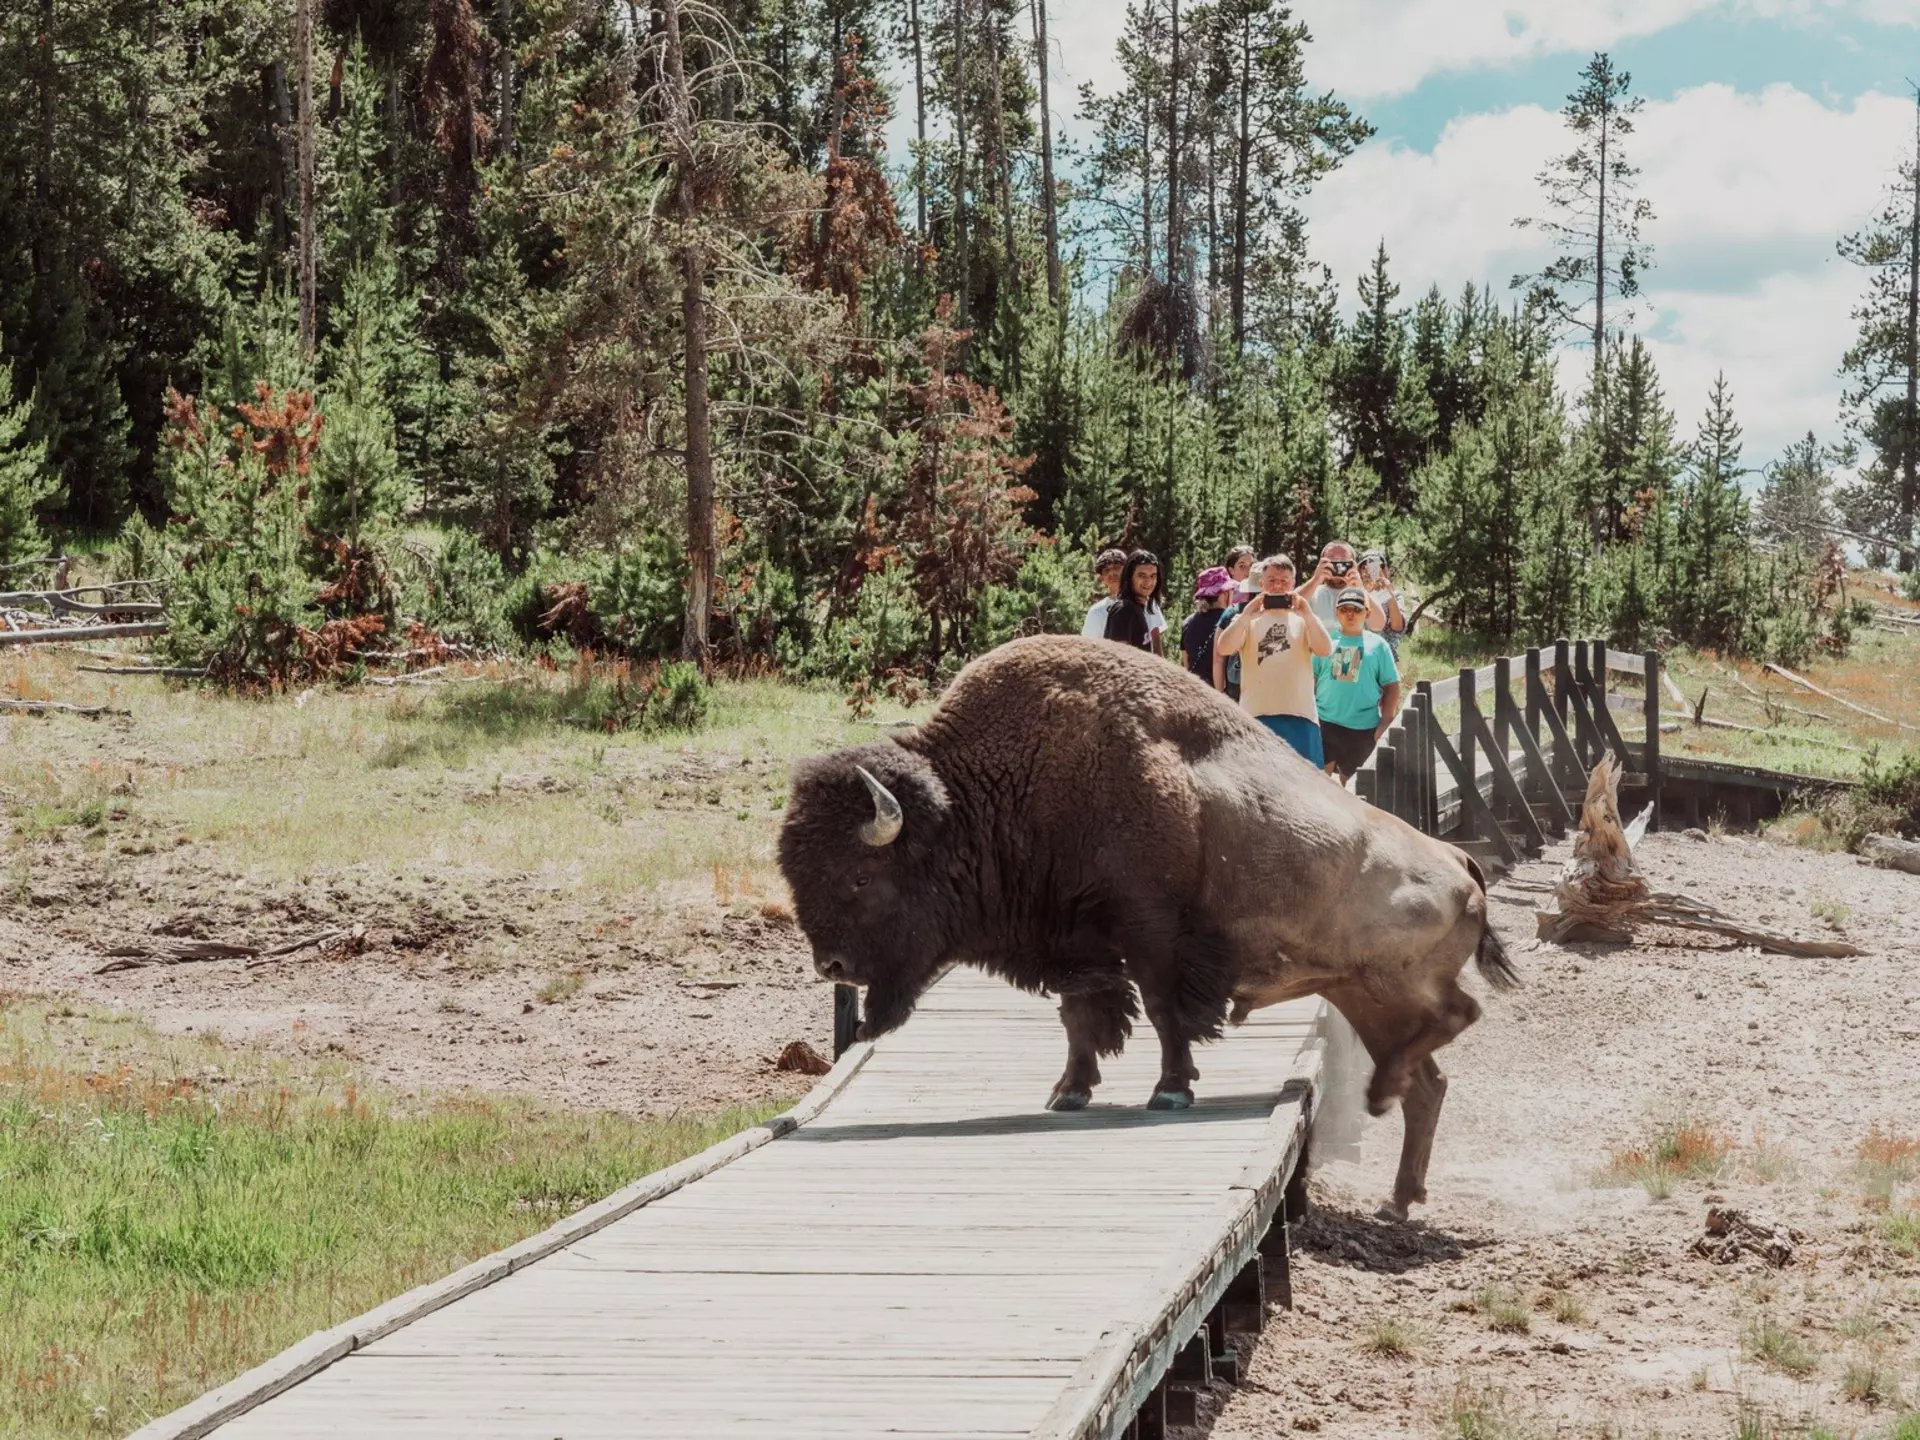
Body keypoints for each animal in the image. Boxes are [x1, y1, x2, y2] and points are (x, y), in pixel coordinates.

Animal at [778, 635, 1516, 1218]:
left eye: (859, 877)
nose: (831, 966)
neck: (979, 798)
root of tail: (1457, 861)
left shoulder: (1151, 932)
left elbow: (1164, 1010)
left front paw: (1170, 1090)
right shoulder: (1075, 944)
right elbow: (1081, 1015)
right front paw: (1069, 1092)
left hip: (1392, 985)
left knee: (1458, 1019)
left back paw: (1383, 1110)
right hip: (1366, 997)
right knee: (1428, 1080)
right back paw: (1398, 1191)